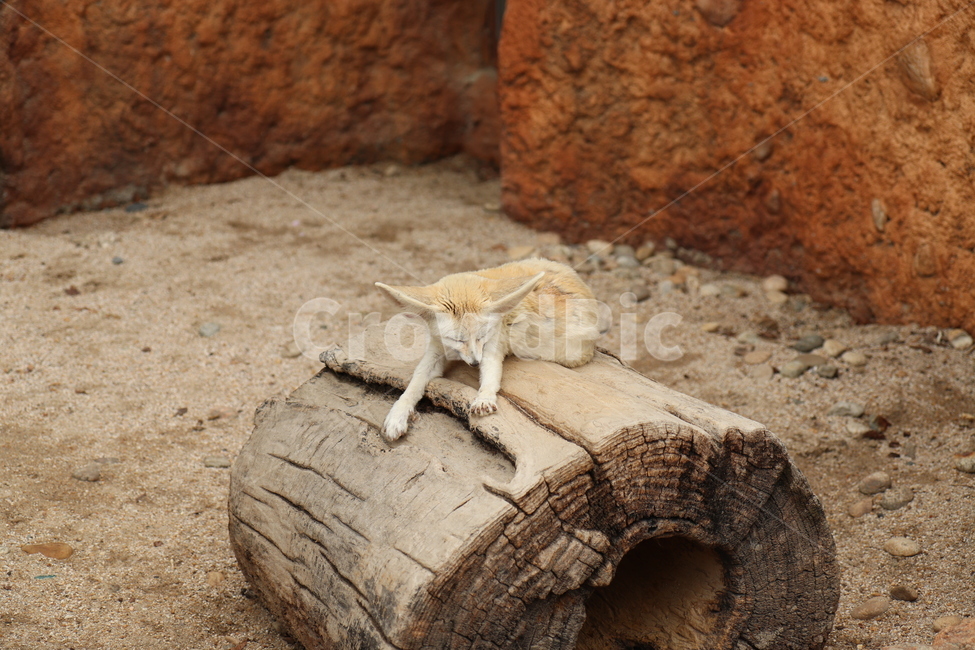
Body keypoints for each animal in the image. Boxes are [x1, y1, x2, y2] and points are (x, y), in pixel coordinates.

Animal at [375, 258, 603, 441]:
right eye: (456, 339)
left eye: (481, 336)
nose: (474, 362)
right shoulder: (437, 349)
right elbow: (415, 383)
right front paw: (397, 414)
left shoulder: (492, 343)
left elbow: (491, 373)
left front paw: (484, 397)